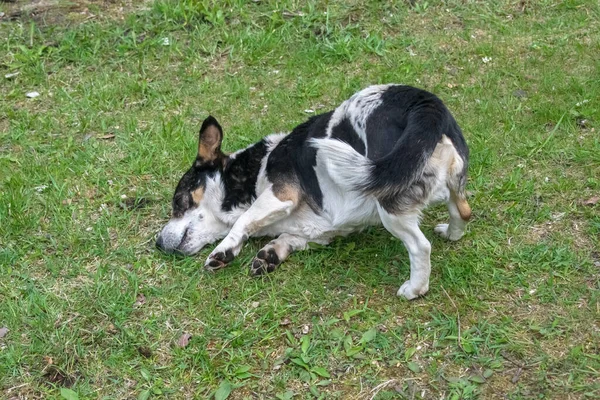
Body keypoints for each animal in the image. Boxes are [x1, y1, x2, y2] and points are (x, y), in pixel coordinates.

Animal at [156, 84, 474, 300]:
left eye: (179, 201)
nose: (157, 244)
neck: (254, 171)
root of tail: (426, 105)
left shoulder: (280, 195)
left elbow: (243, 221)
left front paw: (225, 251)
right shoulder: (319, 231)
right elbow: (289, 239)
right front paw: (270, 254)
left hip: (389, 204)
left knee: (420, 246)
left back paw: (414, 289)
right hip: (451, 184)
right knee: (464, 212)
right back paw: (451, 233)